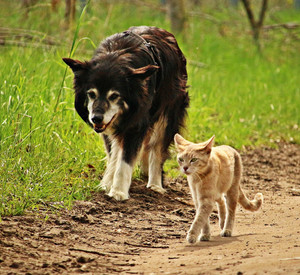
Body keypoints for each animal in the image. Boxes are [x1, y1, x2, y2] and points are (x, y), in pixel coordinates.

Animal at [63, 27, 189, 202]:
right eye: (91, 94)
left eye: (114, 96)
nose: (96, 118)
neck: (116, 55)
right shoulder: (109, 127)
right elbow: (114, 156)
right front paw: (107, 184)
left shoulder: (135, 125)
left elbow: (125, 160)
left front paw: (118, 192)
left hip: (167, 116)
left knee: (157, 150)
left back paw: (155, 185)